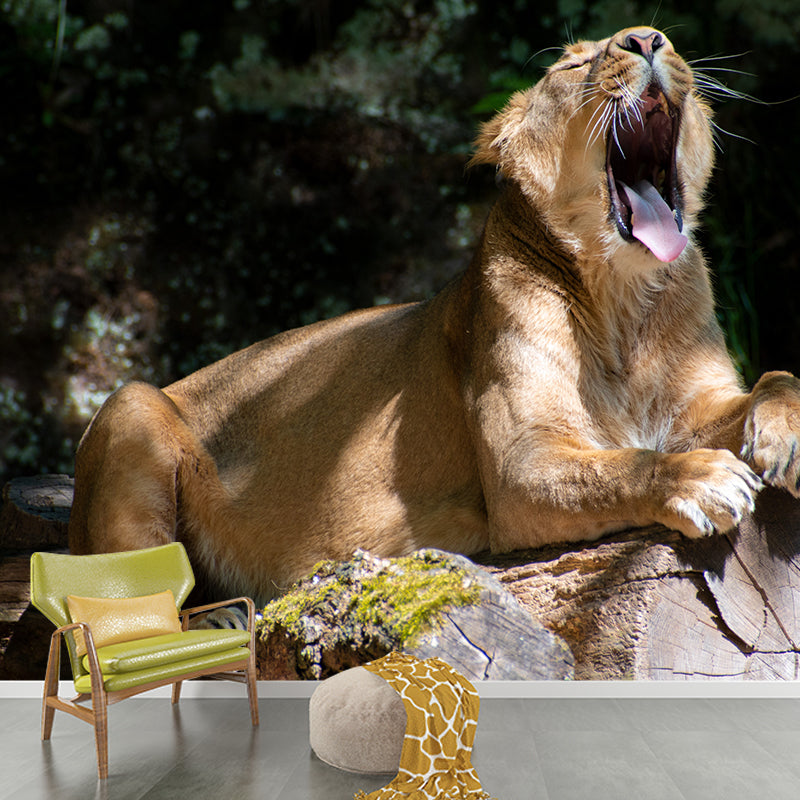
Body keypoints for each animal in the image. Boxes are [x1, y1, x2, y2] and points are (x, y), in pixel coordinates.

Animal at [69, 27, 800, 603]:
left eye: (662, 41)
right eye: (571, 66)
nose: (646, 39)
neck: (626, 300)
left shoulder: (697, 401)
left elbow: (777, 377)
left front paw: (783, 438)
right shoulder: (523, 470)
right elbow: (626, 464)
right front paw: (702, 477)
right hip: (132, 407)